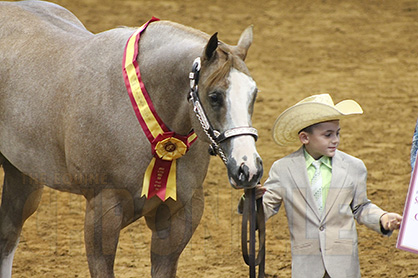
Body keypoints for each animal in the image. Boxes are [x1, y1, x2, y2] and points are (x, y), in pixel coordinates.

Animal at [0, 1, 262, 276]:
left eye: (254, 93)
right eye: (214, 96)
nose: (248, 169)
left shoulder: (180, 216)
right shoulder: (102, 212)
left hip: (23, 175)